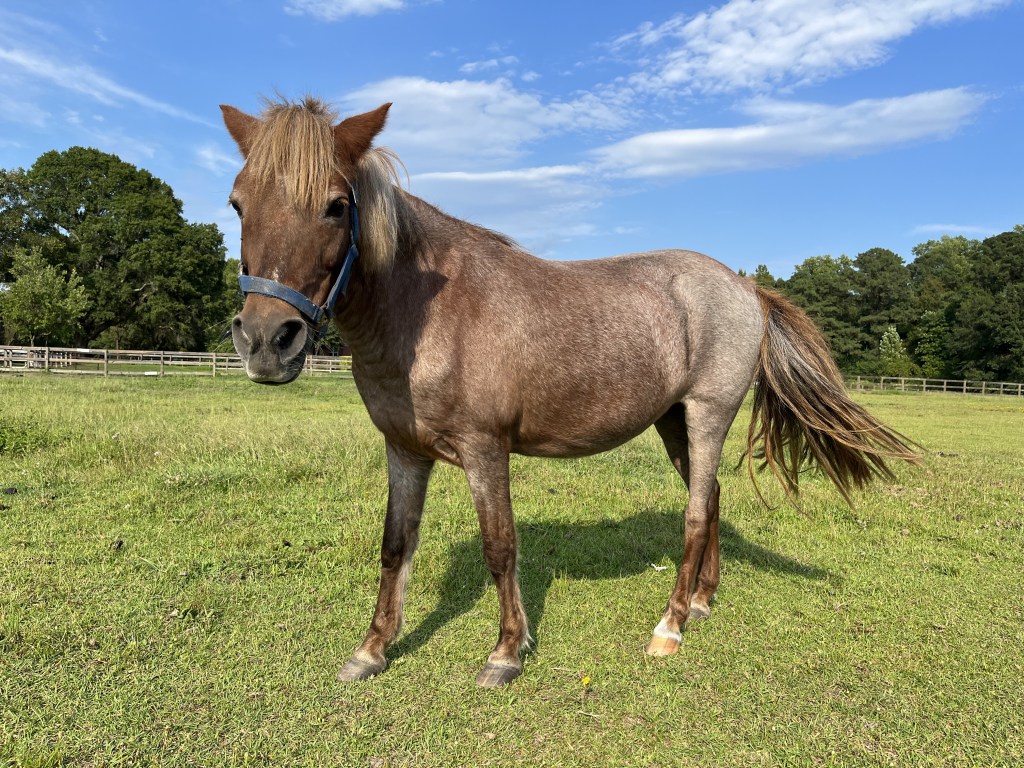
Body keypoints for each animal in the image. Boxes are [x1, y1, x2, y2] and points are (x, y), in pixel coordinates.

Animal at [220, 96, 918, 687]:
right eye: (236, 203)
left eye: (336, 204)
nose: (266, 340)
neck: (429, 311)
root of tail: (746, 287)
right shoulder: (404, 450)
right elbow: (396, 546)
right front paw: (371, 651)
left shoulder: (485, 451)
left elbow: (500, 547)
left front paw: (506, 653)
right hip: (673, 422)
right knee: (713, 498)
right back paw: (700, 602)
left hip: (708, 414)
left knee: (696, 513)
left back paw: (669, 627)